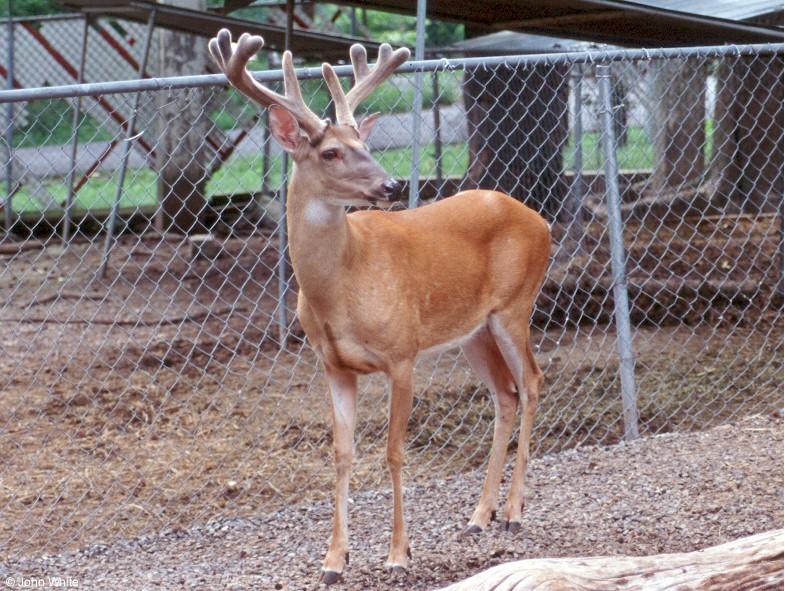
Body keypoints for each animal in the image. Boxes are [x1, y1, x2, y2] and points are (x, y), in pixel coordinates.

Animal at [208, 28, 552, 588]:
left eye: (364, 145)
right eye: (330, 152)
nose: (392, 185)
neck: (342, 285)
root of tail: (540, 220)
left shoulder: (402, 353)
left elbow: (393, 452)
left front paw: (398, 552)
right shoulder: (333, 365)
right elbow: (342, 454)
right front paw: (333, 560)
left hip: (515, 305)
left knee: (534, 381)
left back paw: (515, 511)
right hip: (472, 330)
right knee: (505, 394)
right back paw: (479, 516)